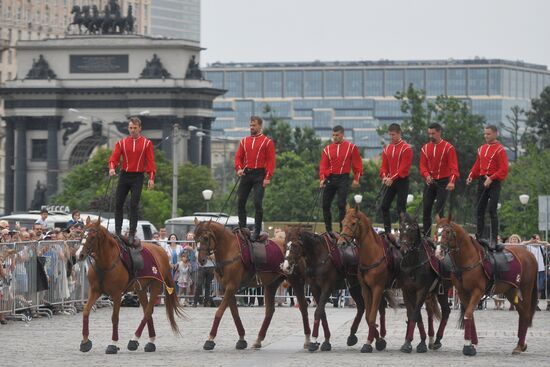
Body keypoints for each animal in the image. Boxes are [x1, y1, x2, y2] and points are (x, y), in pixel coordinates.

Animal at [75, 217, 185, 356]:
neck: (106, 262)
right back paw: (150, 342)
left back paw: (134, 340)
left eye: (93, 237)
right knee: (147, 312)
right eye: (81, 234)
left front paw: (113, 344)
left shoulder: (116, 294)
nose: (79, 255)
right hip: (141, 289)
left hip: (155, 286)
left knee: (147, 311)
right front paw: (85, 342)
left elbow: (115, 318)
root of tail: (161, 251)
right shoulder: (95, 291)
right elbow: (85, 312)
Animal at [194, 220, 314, 352]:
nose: (201, 260)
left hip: (296, 281)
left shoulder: (231, 287)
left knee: (303, 307)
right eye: (195, 238)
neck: (229, 250)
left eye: (205, 238)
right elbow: (235, 313)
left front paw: (210, 339)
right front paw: (241, 339)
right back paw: (258, 339)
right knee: (270, 311)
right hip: (271, 284)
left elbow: (219, 312)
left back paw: (307, 339)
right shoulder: (228, 288)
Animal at [336, 207, 402, 354]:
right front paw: (377, 340)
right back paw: (381, 334)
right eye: (342, 222)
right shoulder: (365, 289)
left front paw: (368, 343)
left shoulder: (377, 288)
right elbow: (368, 315)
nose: (341, 242)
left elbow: (371, 316)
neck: (372, 254)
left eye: (353, 223)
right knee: (381, 309)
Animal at [402, 213, 452, 354]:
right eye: (401, 228)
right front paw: (414, 341)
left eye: (412, 228)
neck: (413, 263)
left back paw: (437, 340)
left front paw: (411, 342)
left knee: (446, 311)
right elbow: (414, 314)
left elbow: (415, 314)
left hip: (442, 292)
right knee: (430, 312)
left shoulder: (422, 291)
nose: (404, 248)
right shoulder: (406, 291)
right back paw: (431, 338)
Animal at [438, 217, 540, 356]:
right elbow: (470, 315)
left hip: (526, 289)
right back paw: (521, 344)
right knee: (521, 312)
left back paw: (519, 346)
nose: (438, 251)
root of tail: (530, 255)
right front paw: (473, 342)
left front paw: (468, 345)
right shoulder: (462, 292)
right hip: (510, 291)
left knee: (525, 314)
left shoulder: (477, 291)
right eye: (437, 230)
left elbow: (468, 314)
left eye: (447, 232)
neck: (468, 259)